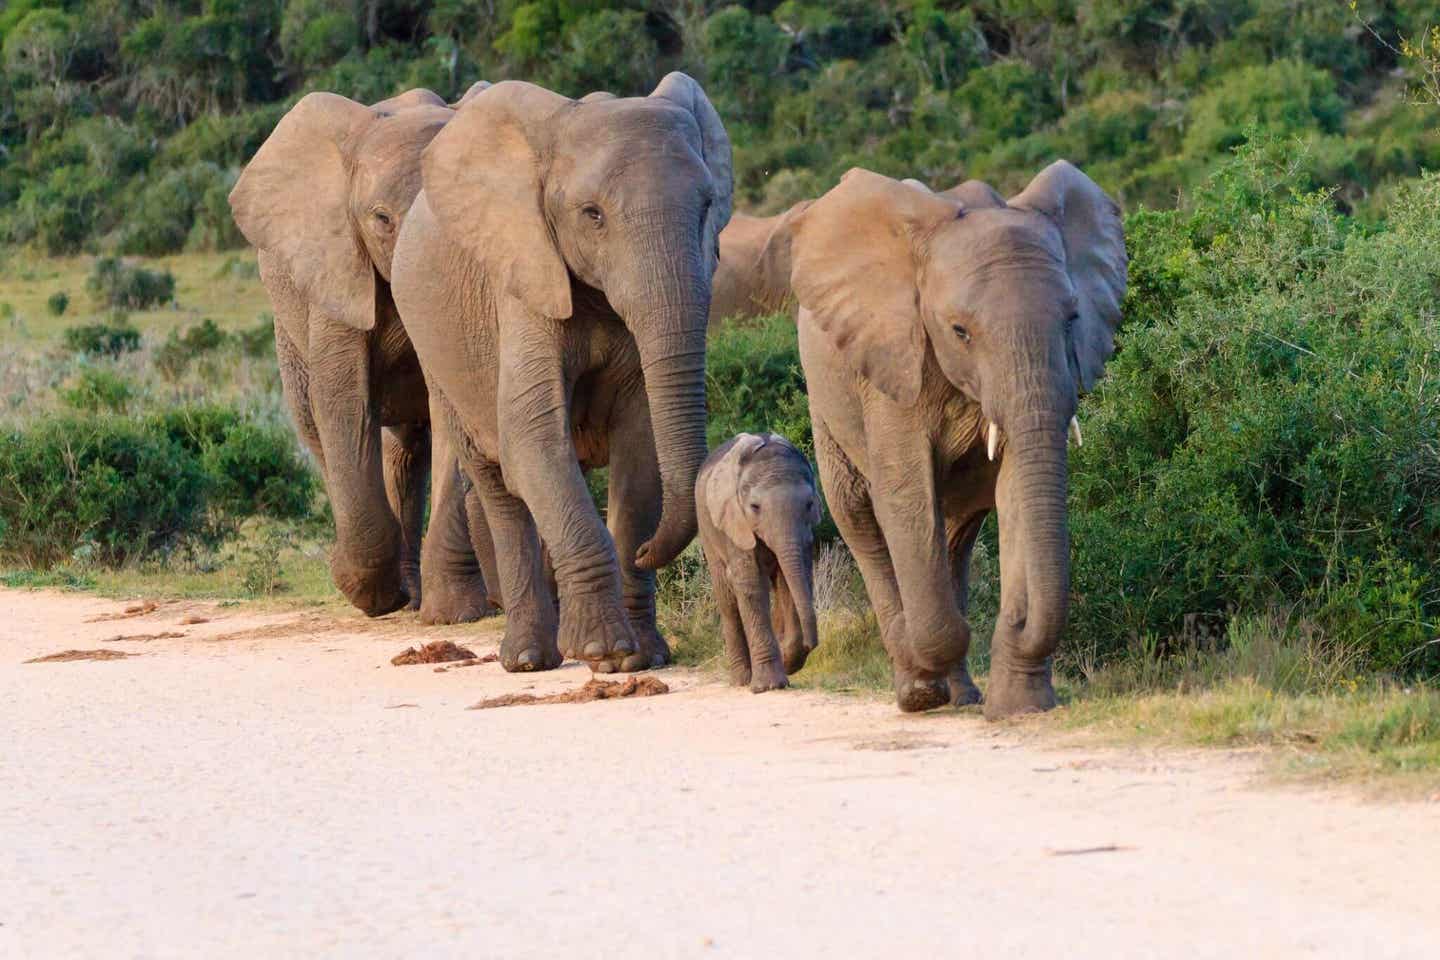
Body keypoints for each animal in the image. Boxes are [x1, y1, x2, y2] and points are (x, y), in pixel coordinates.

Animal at [224, 84, 495, 624]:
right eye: (381, 219)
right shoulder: (335, 271)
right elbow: (343, 403)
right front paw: (371, 596)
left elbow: (453, 411)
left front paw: (453, 613)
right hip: (289, 327)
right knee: (323, 428)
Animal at [391, 73, 731, 676]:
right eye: (592, 215)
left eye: (708, 205)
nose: (648, 551)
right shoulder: (522, 280)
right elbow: (534, 441)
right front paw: (603, 652)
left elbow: (640, 446)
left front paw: (642, 656)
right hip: (437, 352)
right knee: (497, 482)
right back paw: (528, 660)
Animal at [696, 434, 823, 690]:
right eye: (755, 507)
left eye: (809, 505)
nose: (811, 644)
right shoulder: (735, 521)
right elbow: (751, 584)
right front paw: (768, 686)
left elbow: (790, 580)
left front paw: (788, 660)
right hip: (707, 529)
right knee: (727, 600)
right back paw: (742, 680)